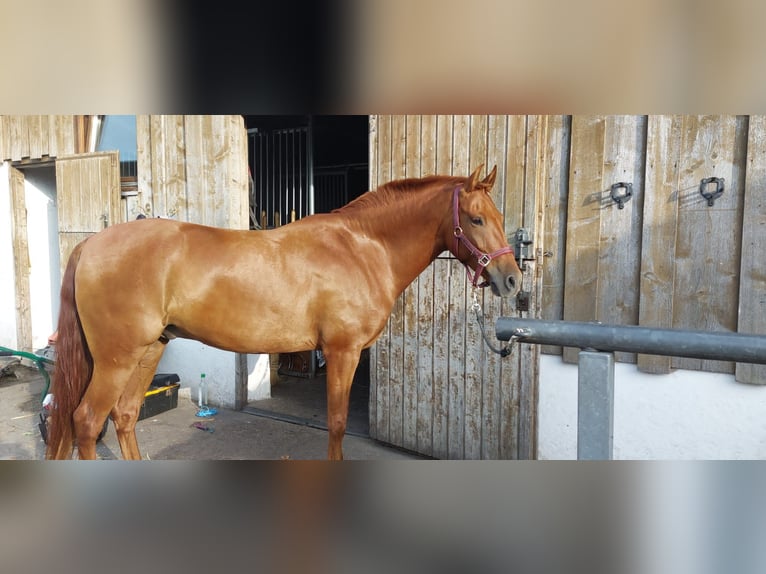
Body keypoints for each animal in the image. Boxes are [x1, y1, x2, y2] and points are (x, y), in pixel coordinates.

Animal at [45, 164, 524, 462]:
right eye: (476, 219)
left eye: (499, 216)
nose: (513, 281)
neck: (362, 248)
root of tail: (92, 243)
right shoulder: (343, 351)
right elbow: (336, 423)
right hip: (116, 358)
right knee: (86, 422)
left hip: (149, 349)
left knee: (124, 415)